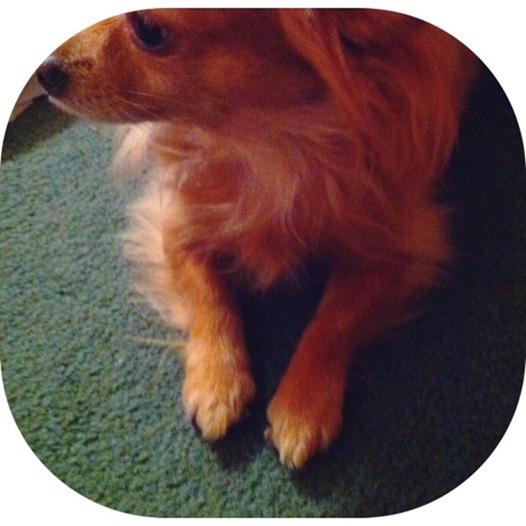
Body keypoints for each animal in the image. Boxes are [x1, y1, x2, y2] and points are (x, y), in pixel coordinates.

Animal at [37, 9, 478, 468]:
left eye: (149, 31)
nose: (44, 71)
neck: (266, 143)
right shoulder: (177, 222)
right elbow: (208, 296)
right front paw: (217, 382)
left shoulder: (397, 246)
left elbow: (332, 323)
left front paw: (302, 406)